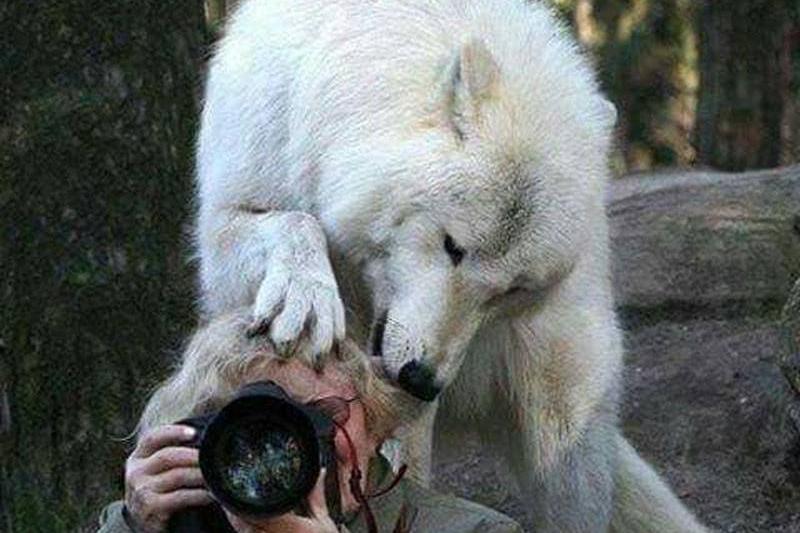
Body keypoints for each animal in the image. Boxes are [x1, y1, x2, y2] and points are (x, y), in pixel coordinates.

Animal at [195, 0, 707, 531]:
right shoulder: (245, 184)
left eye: (512, 289)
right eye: (452, 246)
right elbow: (293, 221)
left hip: (564, 413)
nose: (422, 379)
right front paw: (308, 301)